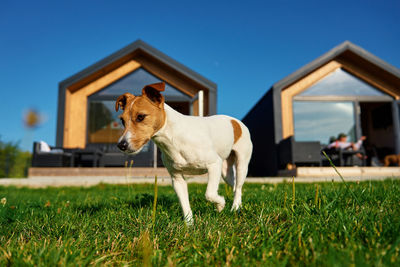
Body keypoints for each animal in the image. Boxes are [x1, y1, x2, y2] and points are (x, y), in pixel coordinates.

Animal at [115, 81, 252, 224]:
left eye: (141, 117)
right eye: (122, 120)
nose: (121, 145)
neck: (174, 138)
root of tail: (235, 121)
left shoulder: (214, 164)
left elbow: (209, 194)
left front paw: (220, 204)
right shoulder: (177, 178)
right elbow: (185, 204)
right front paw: (189, 224)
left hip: (241, 165)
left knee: (239, 187)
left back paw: (235, 207)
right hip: (225, 172)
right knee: (235, 186)